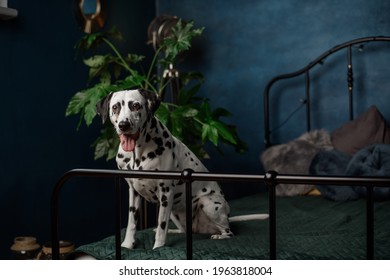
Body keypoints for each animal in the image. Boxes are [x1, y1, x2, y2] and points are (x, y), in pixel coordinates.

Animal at [97, 88, 268, 248]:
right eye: (115, 107)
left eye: (135, 105)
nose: (123, 125)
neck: (137, 153)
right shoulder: (134, 192)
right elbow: (132, 223)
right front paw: (127, 245)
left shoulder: (166, 193)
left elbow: (161, 226)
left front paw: (158, 248)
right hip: (175, 213)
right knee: (185, 230)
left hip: (208, 203)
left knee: (228, 231)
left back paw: (220, 235)